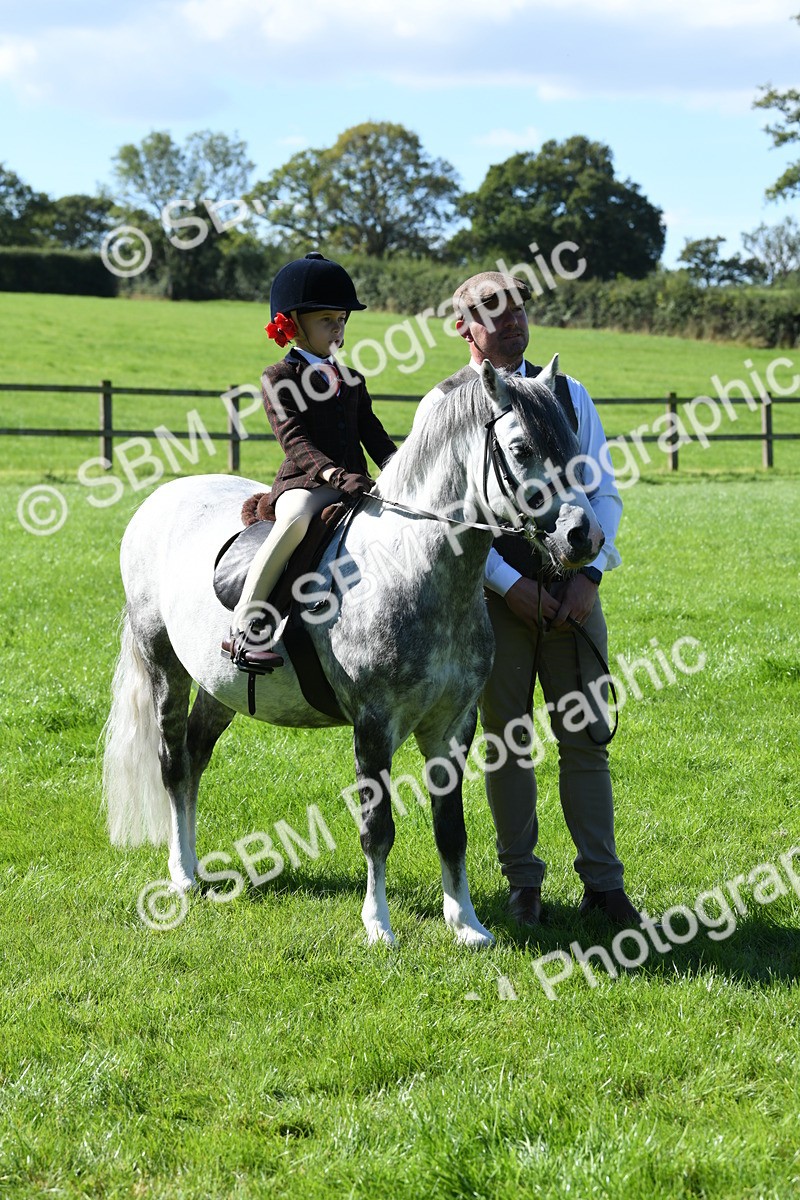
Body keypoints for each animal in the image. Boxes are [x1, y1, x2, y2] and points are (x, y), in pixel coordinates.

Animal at [103, 357, 604, 947]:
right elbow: (377, 828)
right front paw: (378, 926)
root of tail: (161, 499)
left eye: (572, 439)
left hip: (218, 684)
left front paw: (466, 924)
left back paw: (196, 863)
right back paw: (181, 875)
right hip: (165, 666)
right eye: (522, 448)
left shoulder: (453, 724)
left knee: (196, 755)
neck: (411, 567)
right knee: (174, 764)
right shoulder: (374, 724)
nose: (584, 538)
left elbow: (451, 828)